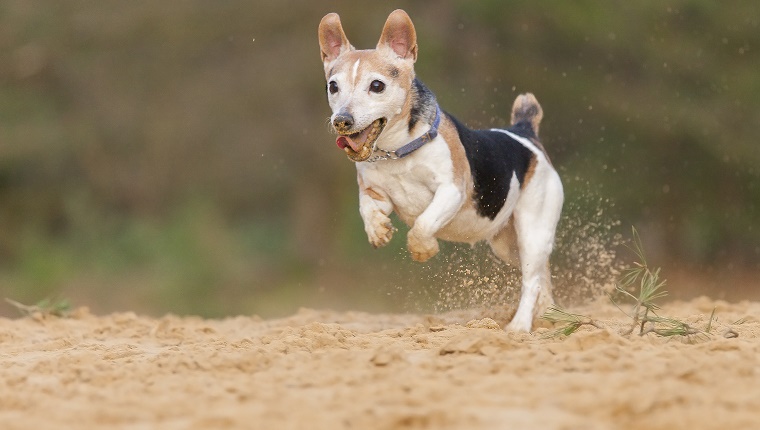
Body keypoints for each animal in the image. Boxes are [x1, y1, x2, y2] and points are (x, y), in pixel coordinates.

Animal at [316, 10, 564, 332]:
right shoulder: (373, 190)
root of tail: (524, 132)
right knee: (542, 275)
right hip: (508, 246)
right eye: (333, 86)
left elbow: (423, 224)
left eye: (377, 86)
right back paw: (549, 316)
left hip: (533, 230)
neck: (398, 150)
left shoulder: (451, 190)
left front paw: (423, 249)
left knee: (531, 280)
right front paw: (378, 229)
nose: (342, 120)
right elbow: (367, 207)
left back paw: (520, 326)